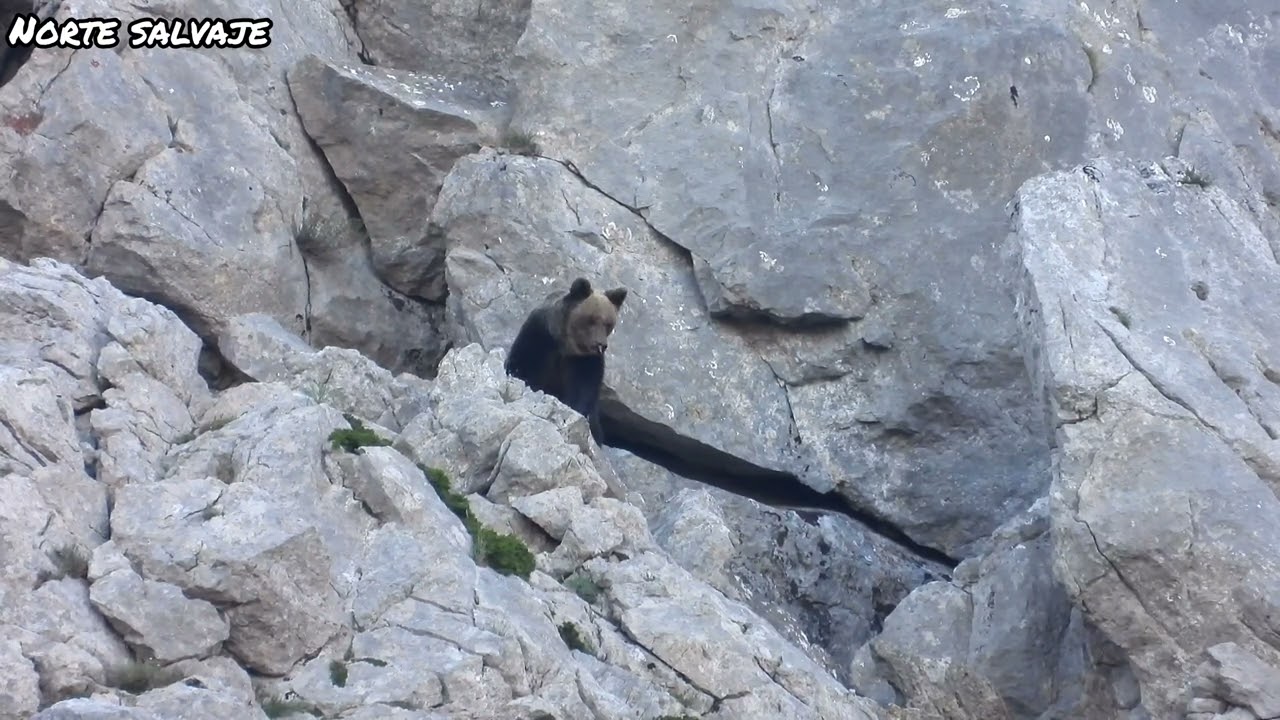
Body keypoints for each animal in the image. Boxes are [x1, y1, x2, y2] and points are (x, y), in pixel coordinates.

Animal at [504, 277, 628, 443]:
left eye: (608, 323)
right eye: (592, 319)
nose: (601, 344)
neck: (566, 344)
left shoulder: (584, 361)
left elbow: (584, 388)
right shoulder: (540, 336)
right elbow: (523, 362)